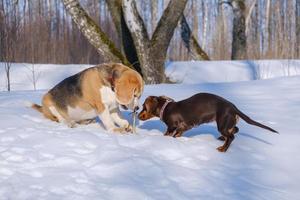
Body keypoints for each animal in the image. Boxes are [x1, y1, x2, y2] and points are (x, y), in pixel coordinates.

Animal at [137, 93, 278, 152]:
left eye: (144, 107)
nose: (137, 114)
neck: (166, 108)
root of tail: (233, 107)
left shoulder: (172, 127)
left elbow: (167, 134)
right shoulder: (182, 128)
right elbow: (178, 135)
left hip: (222, 124)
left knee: (231, 136)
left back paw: (222, 149)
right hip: (227, 123)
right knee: (235, 130)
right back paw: (222, 139)